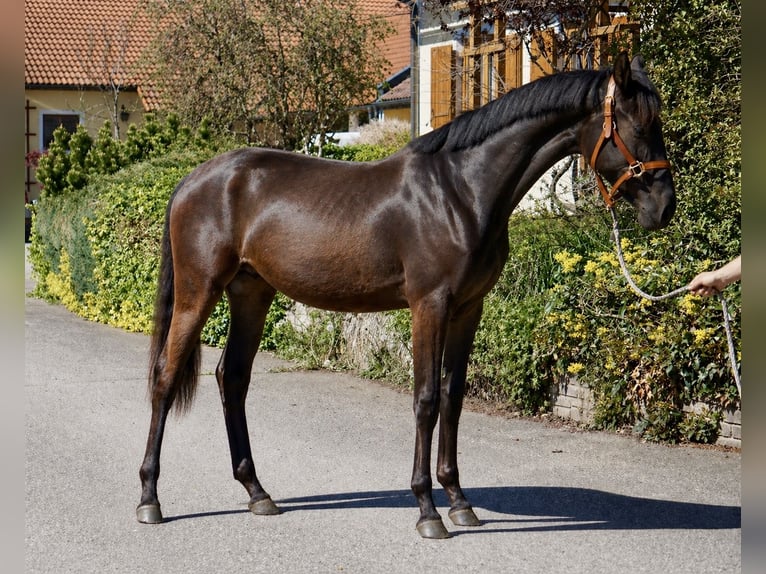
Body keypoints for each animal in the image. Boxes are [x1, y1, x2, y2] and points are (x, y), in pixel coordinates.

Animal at [137, 52, 675, 539]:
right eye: (637, 125)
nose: (664, 208)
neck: (461, 191)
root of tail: (191, 180)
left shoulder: (468, 309)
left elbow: (454, 397)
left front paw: (459, 501)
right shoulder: (429, 306)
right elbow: (426, 399)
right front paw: (427, 511)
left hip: (252, 292)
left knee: (233, 378)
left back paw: (257, 493)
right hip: (198, 292)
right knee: (164, 378)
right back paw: (150, 499)